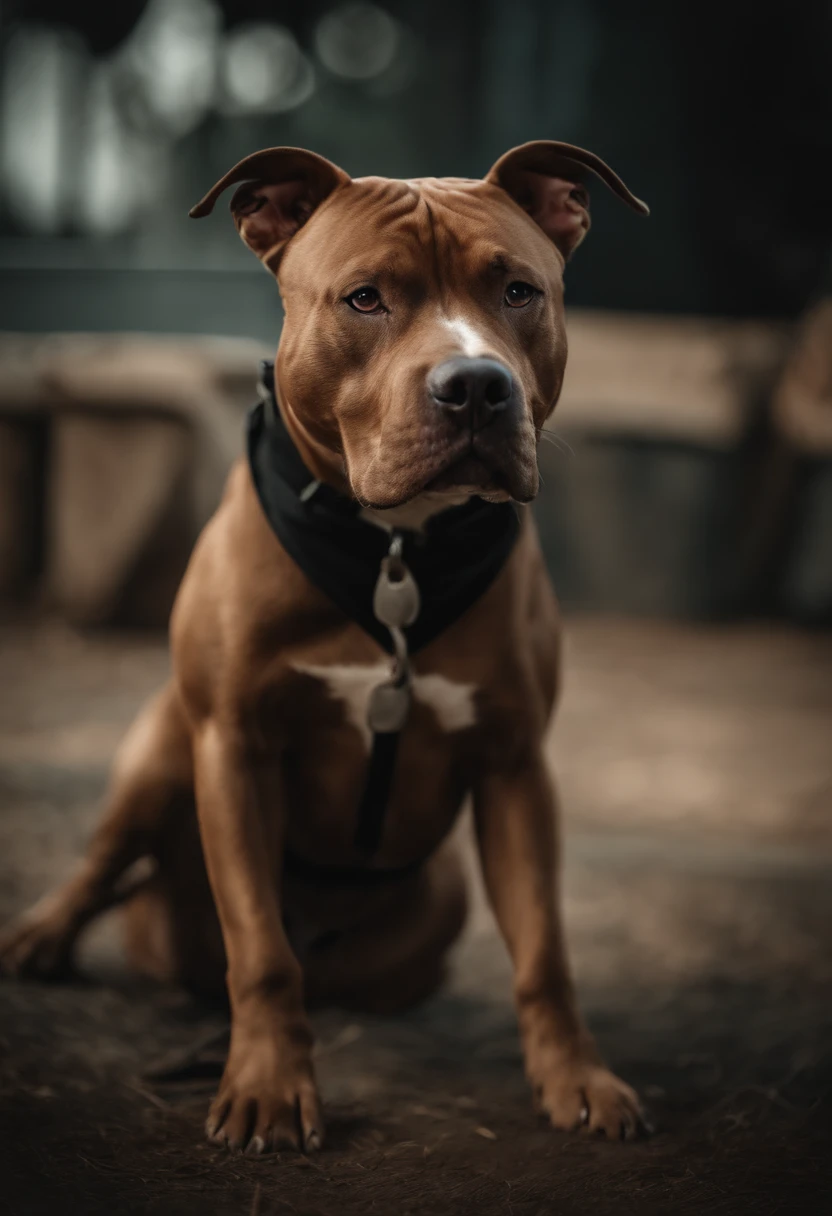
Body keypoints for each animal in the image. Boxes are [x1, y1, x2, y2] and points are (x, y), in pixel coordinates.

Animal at [0, 139, 651, 1147]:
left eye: (518, 291)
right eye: (365, 299)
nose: (476, 384)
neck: (395, 548)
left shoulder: (515, 764)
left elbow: (545, 951)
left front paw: (578, 1078)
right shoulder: (233, 745)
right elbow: (262, 949)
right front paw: (269, 1086)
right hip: (161, 753)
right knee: (107, 862)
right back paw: (42, 936)